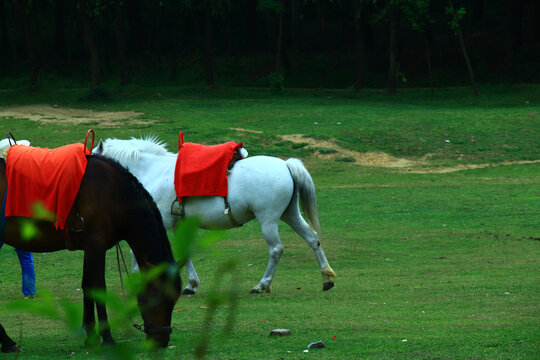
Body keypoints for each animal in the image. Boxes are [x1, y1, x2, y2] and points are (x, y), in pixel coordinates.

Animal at [0, 155, 182, 348]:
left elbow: (87, 285)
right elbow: (99, 288)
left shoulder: (90, 248)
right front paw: (107, 337)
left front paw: (91, 335)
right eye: (159, 297)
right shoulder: (96, 246)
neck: (116, 193)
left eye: (174, 299)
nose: (161, 341)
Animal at [95, 136, 336, 294]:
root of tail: (286, 165)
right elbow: (185, 252)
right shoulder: (178, 224)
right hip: (290, 214)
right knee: (313, 239)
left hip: (267, 220)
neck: (152, 171)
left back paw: (262, 284)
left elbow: (138, 251)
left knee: (276, 249)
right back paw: (326, 277)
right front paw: (191, 285)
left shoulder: (159, 221)